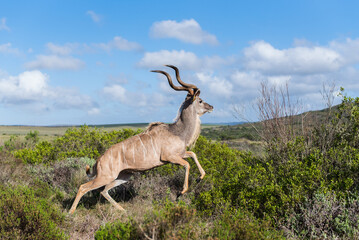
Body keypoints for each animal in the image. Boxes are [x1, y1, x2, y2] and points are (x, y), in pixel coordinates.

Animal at [69, 64, 212, 214]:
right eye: (200, 100)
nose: (211, 107)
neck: (177, 131)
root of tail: (98, 161)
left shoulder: (181, 154)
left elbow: (193, 154)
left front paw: (200, 177)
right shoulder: (170, 157)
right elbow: (187, 164)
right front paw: (181, 192)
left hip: (123, 176)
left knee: (104, 191)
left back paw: (123, 210)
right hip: (105, 176)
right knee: (83, 187)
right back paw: (70, 212)